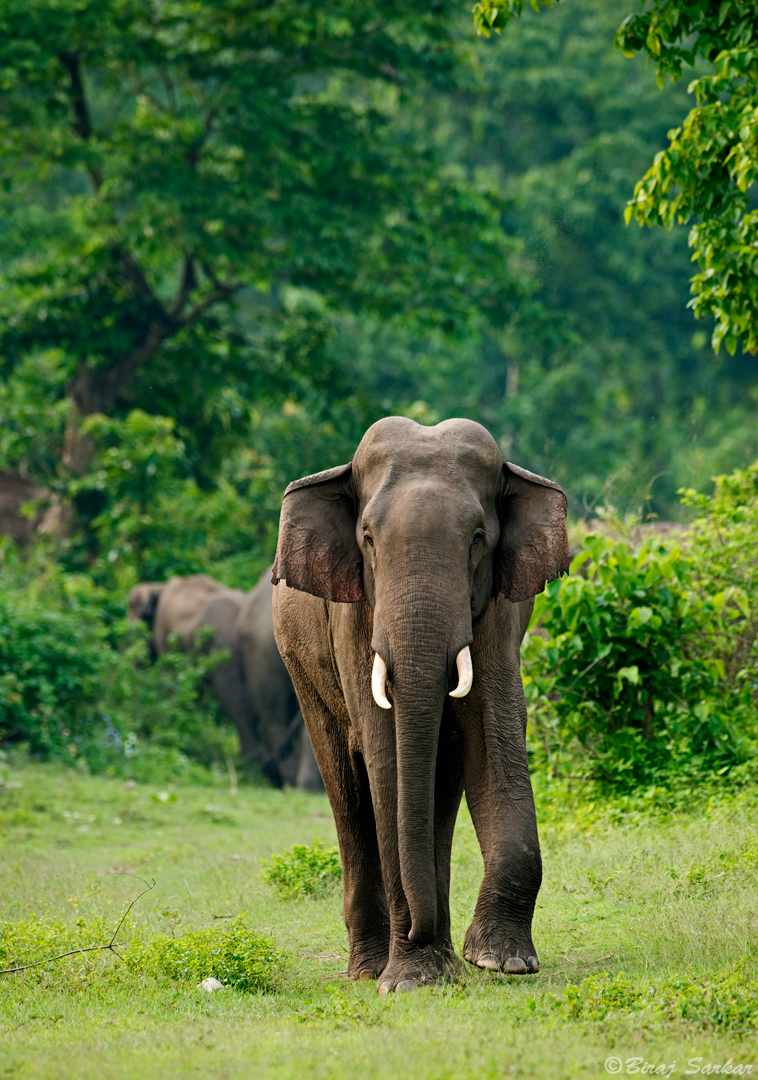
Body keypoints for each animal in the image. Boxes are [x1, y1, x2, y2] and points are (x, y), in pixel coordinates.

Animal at [272, 416, 569, 992]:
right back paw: (369, 969)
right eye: (367, 538)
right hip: (300, 669)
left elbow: (493, 742)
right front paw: (411, 980)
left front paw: (500, 961)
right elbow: (386, 758)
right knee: (348, 791)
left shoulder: (499, 612)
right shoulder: (355, 613)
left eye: (477, 539)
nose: (414, 932)